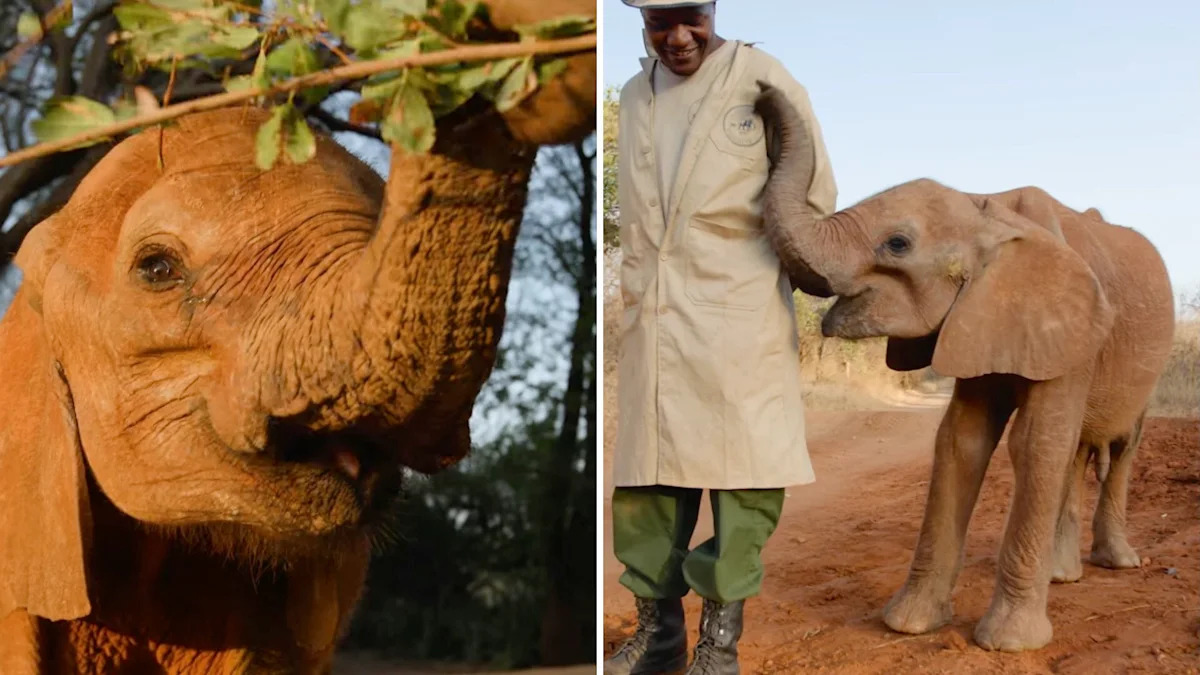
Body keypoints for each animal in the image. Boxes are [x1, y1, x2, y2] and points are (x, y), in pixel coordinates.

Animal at [753, 82, 1175, 652]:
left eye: (898, 243)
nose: (759, 93)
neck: (989, 213)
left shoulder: (1073, 328)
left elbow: (1036, 442)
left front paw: (1009, 644)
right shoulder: (979, 317)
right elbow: (962, 440)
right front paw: (908, 625)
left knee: (1119, 444)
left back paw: (1118, 564)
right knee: (1073, 454)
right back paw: (1062, 576)